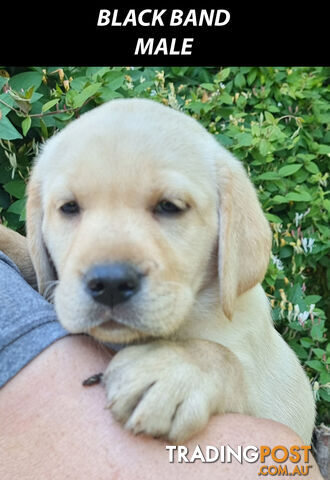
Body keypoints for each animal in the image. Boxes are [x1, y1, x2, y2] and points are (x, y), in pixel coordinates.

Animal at [0, 97, 314, 442]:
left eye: (169, 207)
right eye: (69, 207)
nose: (110, 284)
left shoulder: (274, 401)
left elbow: (226, 359)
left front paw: (172, 373)